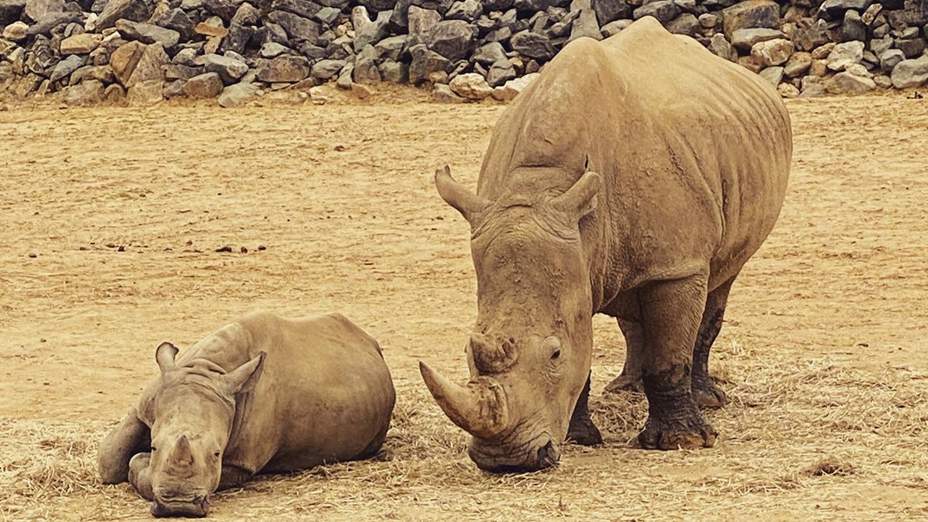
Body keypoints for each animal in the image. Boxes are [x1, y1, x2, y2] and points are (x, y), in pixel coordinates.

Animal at [99, 310, 396, 512]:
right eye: (155, 446)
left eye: (217, 454)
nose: (179, 506)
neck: (206, 370)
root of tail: (370, 344)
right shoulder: (150, 401)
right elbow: (109, 459)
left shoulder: (243, 460)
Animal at [420, 18, 792, 470]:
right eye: (468, 350)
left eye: (554, 354)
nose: (506, 459)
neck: (540, 186)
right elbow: (588, 342)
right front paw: (579, 438)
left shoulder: (677, 264)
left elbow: (668, 355)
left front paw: (682, 442)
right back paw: (626, 389)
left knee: (722, 278)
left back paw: (707, 401)